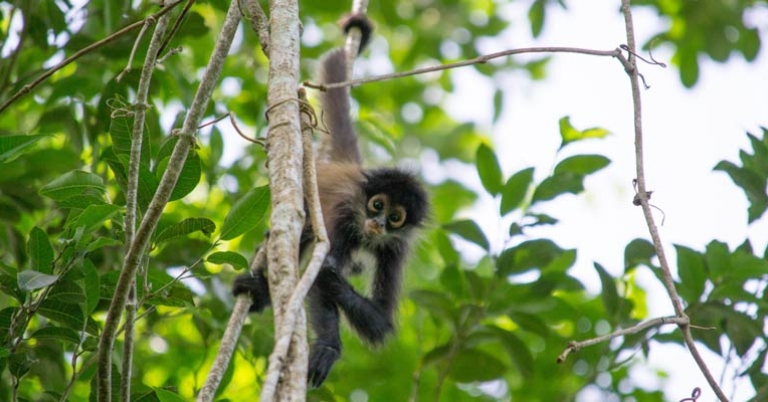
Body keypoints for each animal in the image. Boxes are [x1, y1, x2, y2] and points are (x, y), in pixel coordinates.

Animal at [232, 15, 429, 388]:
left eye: (395, 217)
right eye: (377, 205)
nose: (378, 223)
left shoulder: (396, 247)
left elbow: (379, 321)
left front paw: (332, 276)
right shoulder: (340, 215)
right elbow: (317, 278)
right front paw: (329, 346)